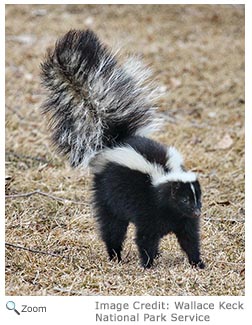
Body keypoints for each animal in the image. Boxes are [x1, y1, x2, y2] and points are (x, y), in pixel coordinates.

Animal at [39, 29, 205, 268]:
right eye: (183, 199)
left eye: (197, 197)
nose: (197, 211)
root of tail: (115, 140)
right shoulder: (148, 209)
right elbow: (145, 237)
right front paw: (148, 264)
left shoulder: (182, 220)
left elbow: (189, 238)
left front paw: (197, 263)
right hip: (106, 195)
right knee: (112, 227)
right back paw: (114, 254)